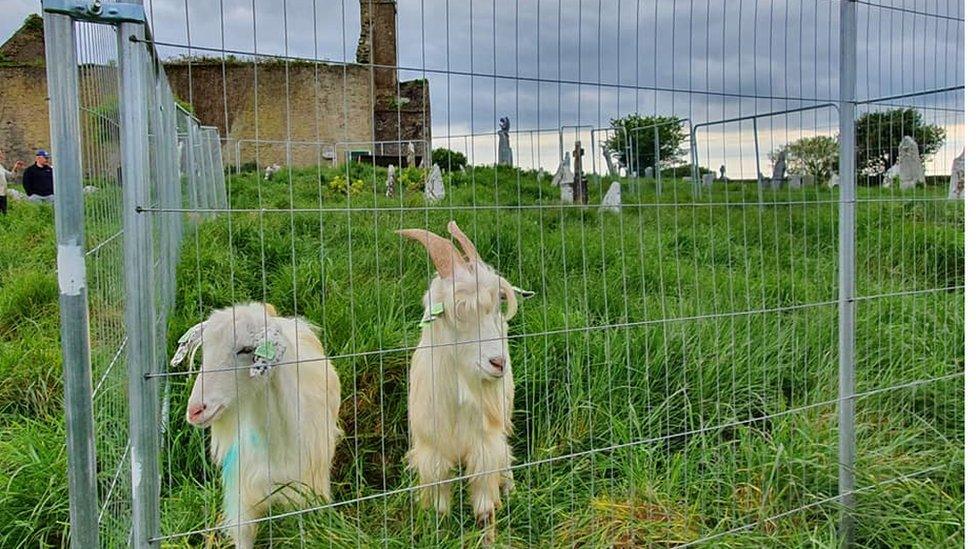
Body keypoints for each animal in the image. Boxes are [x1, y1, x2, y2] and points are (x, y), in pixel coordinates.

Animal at [398, 219, 532, 536]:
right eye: (454, 312)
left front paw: (488, 534)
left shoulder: (484, 446)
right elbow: (439, 507)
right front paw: (439, 531)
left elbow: (485, 507)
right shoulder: (432, 452)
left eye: (497, 307)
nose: (498, 363)